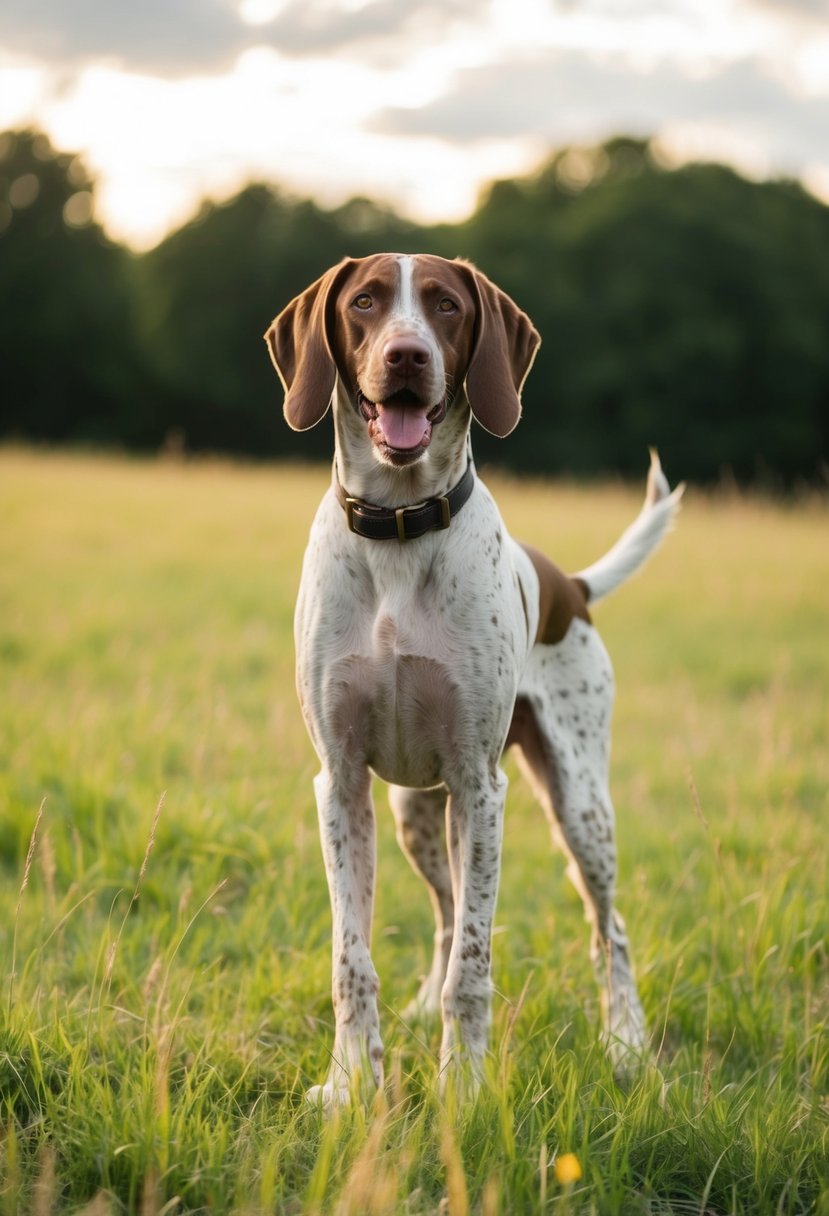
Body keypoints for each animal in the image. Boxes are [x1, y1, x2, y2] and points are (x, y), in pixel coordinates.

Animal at [262, 254, 675, 1104]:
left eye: (446, 306)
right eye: (364, 302)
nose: (407, 356)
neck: (396, 524)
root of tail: (569, 584)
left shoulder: (481, 789)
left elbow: (473, 970)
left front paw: (464, 1093)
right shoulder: (341, 784)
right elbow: (352, 958)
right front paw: (350, 1085)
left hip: (578, 805)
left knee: (607, 929)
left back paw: (623, 1043)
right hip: (414, 811)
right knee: (448, 913)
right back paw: (420, 1011)